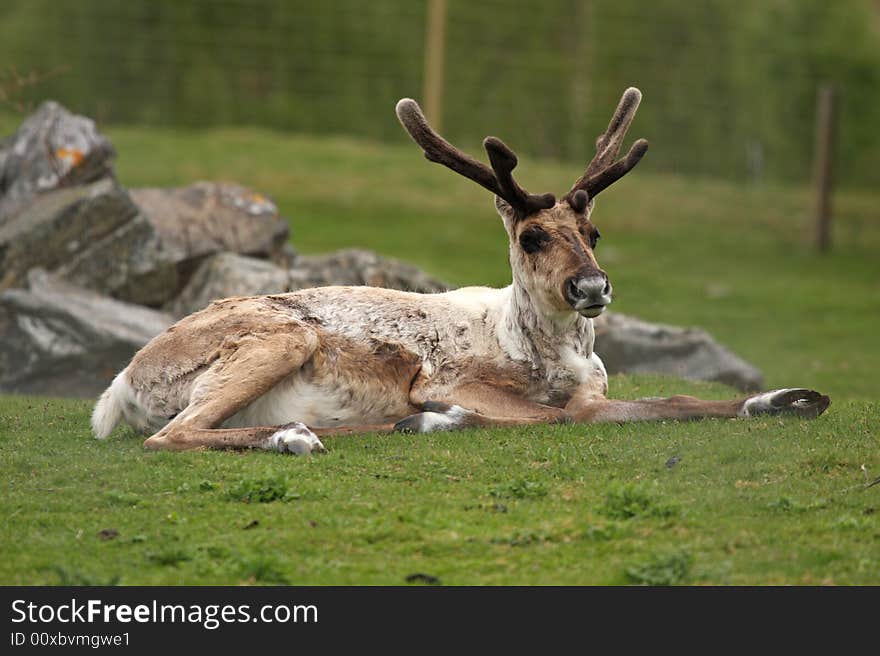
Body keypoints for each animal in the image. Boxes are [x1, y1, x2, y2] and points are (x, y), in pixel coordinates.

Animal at [93, 87, 828, 454]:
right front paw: (440, 417)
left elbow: (672, 403)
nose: (592, 286)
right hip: (281, 338)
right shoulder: (447, 377)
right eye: (531, 236)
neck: (547, 354)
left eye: (594, 232)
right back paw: (320, 433)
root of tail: (120, 389)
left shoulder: (594, 392)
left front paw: (791, 398)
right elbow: (551, 420)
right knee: (170, 435)